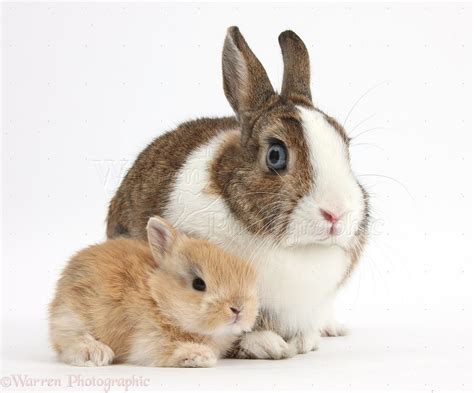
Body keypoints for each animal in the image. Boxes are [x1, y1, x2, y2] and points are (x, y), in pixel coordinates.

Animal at [49, 216, 258, 366]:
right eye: (199, 284)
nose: (238, 308)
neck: (157, 298)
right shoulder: (146, 338)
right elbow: (166, 349)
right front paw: (199, 355)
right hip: (70, 317)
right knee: (70, 341)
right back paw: (97, 353)